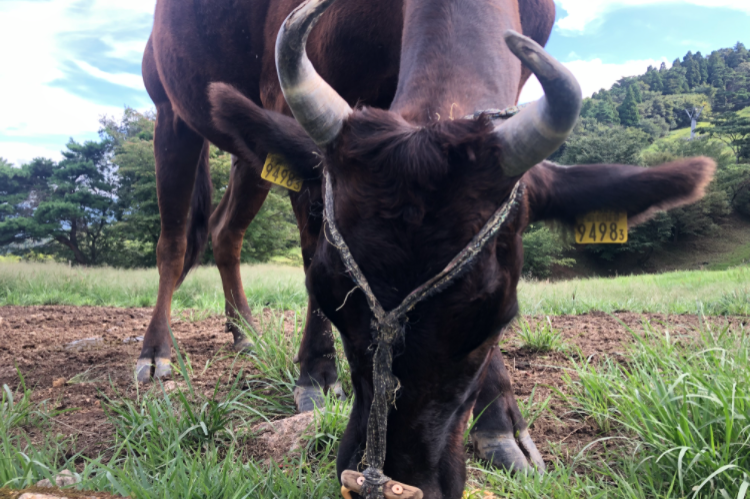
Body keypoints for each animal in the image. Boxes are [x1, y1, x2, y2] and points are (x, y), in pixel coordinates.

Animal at [142, 0, 564, 474]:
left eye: (496, 315)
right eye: (331, 294)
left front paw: (501, 423)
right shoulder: (289, 110)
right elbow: (312, 245)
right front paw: (317, 375)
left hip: (249, 149)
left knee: (224, 230)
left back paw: (245, 331)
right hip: (171, 113)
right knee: (173, 243)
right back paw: (156, 349)